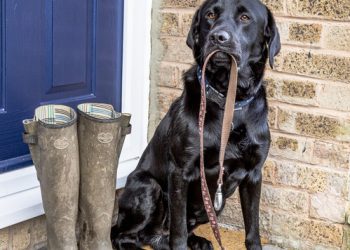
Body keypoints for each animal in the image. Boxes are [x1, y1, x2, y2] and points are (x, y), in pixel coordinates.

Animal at [110, 0, 280, 249]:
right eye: (210, 15)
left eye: (245, 18)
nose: (218, 37)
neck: (228, 100)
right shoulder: (181, 171)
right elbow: (178, 231)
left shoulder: (253, 174)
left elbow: (252, 228)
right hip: (147, 186)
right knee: (123, 234)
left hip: (214, 206)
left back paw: (197, 241)